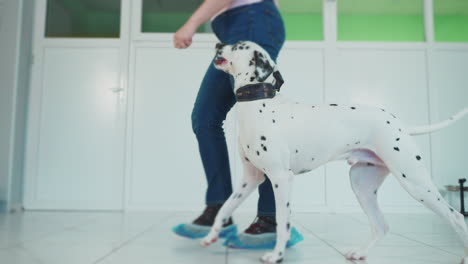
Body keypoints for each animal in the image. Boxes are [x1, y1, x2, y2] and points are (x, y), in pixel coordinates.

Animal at [198, 40, 468, 262]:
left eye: (239, 46)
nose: (218, 44)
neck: (258, 103)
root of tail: (398, 123)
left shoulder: (281, 179)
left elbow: (283, 221)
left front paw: (277, 255)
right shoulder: (250, 179)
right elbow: (225, 208)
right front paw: (211, 235)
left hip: (415, 182)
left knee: (456, 217)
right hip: (362, 185)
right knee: (381, 226)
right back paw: (359, 253)